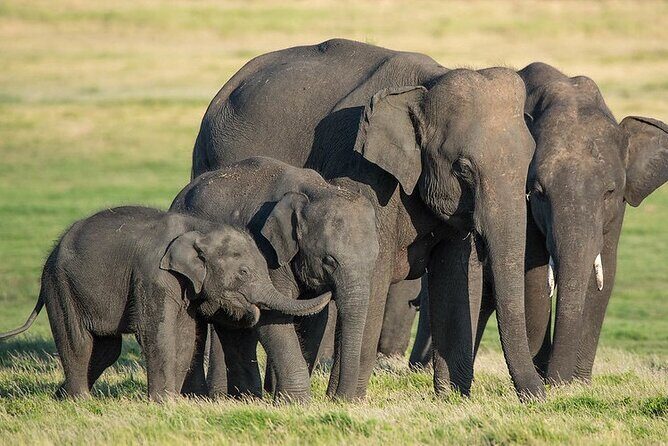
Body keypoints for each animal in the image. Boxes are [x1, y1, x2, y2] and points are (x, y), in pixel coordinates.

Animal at [0, 206, 330, 401]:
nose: (324, 286)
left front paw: (174, 401)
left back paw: (61, 397)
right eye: (244, 272)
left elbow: (185, 337)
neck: (199, 228)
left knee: (106, 349)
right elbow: (156, 332)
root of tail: (52, 253)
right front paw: (162, 403)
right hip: (61, 286)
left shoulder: (185, 286)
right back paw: (80, 401)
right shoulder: (153, 275)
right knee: (79, 342)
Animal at [170, 156, 380, 401]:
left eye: (375, 259)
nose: (338, 399)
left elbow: (314, 318)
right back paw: (198, 397)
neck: (315, 190)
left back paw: (244, 397)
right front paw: (296, 401)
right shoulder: (266, 251)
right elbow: (273, 315)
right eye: (329, 260)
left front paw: (282, 398)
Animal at [190, 39, 544, 400]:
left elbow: (457, 277)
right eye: (463, 168)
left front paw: (452, 399)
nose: (539, 396)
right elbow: (376, 271)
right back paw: (223, 398)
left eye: (529, 160)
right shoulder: (364, 172)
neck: (429, 82)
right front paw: (345, 401)